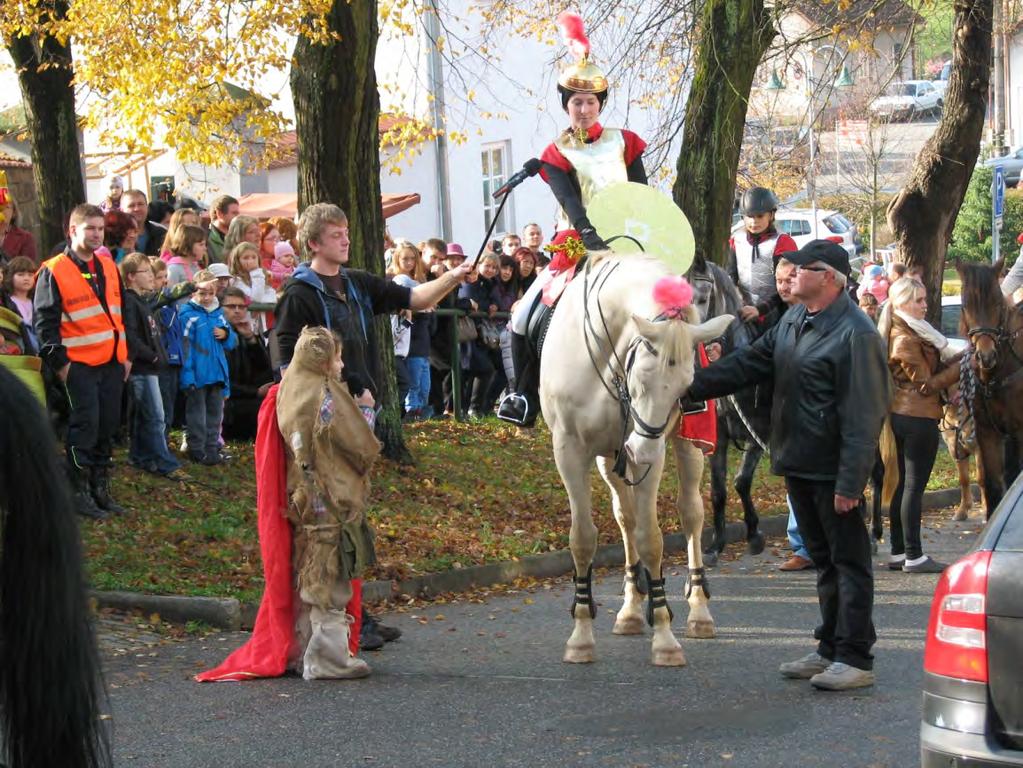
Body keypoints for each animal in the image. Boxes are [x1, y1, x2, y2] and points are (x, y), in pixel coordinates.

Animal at [540, 253, 732, 666]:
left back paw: (699, 611)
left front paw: (664, 637)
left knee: (691, 515)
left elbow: (651, 540)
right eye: (641, 379)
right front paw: (581, 636)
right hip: (609, 457)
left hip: (685, 448)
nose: (641, 451)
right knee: (624, 518)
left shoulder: (649, 455)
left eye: (684, 389)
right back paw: (629, 609)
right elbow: (583, 538)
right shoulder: (570, 450)